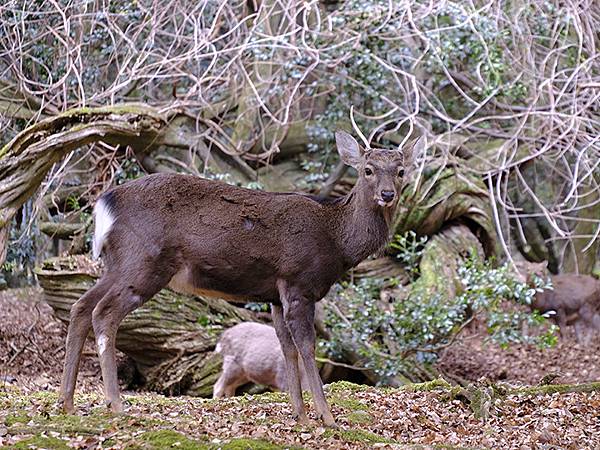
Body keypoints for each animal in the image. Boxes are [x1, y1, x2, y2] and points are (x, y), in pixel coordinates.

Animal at [57, 130, 422, 426]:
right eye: (367, 170)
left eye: (401, 170)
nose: (387, 194)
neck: (338, 242)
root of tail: (104, 203)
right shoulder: (298, 282)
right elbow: (306, 346)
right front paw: (326, 417)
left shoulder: (275, 293)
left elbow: (287, 348)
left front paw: (300, 414)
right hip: (144, 262)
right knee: (103, 312)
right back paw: (116, 404)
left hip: (117, 264)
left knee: (80, 306)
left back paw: (67, 403)